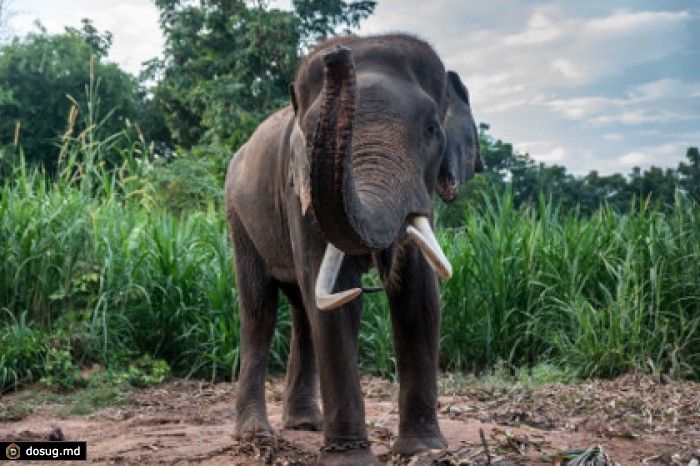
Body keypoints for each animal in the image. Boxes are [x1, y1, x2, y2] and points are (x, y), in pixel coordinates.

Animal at [224, 33, 482, 466]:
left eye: (432, 128)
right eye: (312, 136)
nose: (338, 54)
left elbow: (420, 296)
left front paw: (424, 449)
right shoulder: (300, 191)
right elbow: (341, 300)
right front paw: (351, 459)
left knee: (302, 310)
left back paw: (305, 424)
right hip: (238, 219)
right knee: (259, 309)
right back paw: (255, 435)